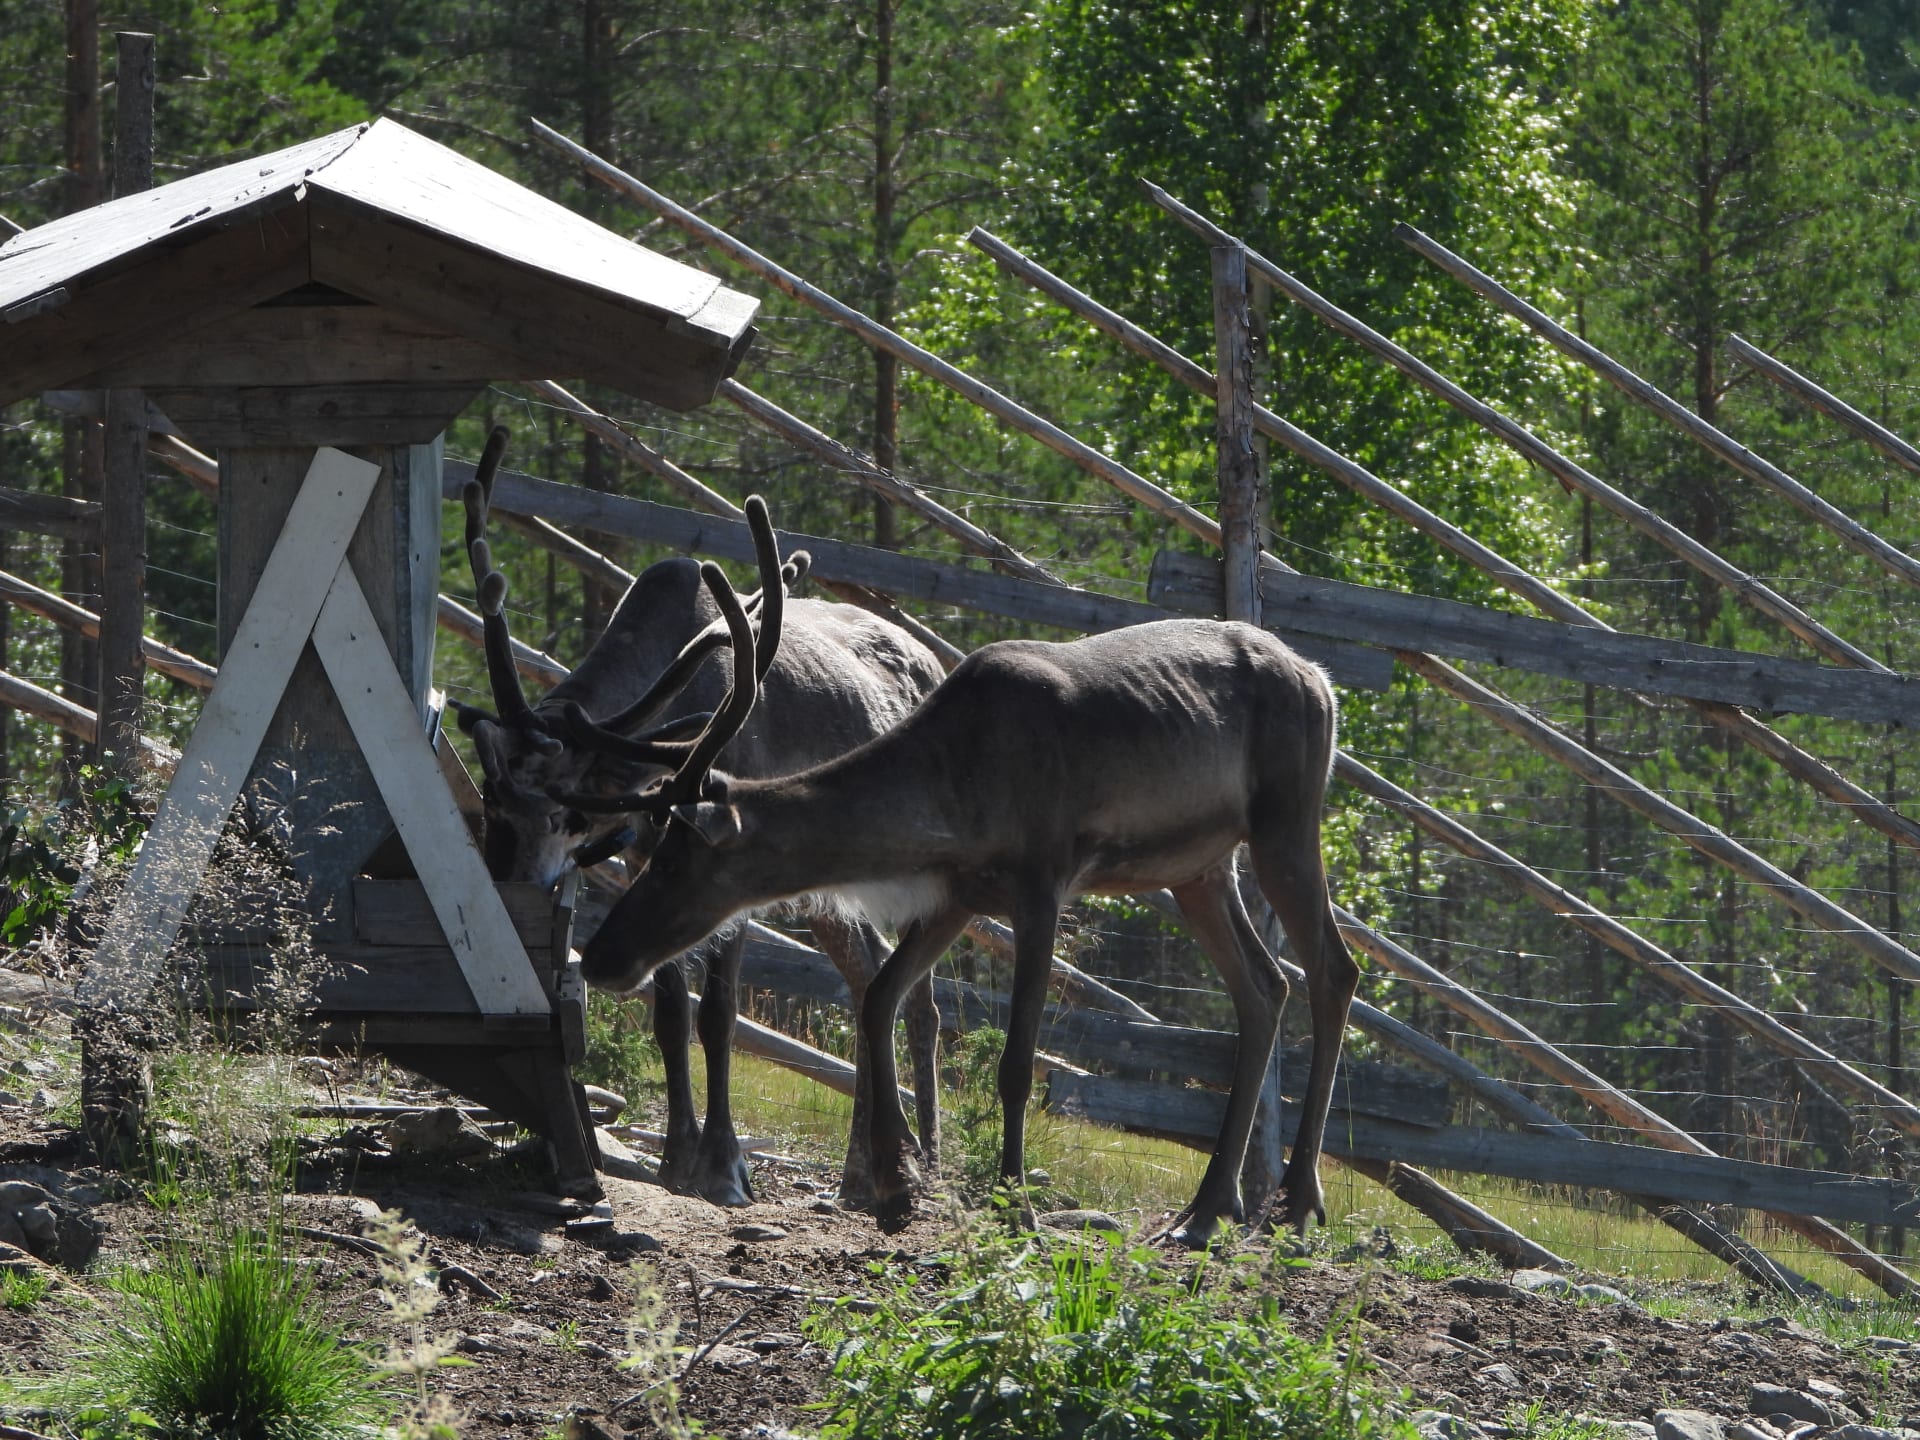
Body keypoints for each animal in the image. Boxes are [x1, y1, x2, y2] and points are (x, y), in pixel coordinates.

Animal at [451, 427, 947, 1208]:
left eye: (570, 813)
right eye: (493, 799)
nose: (510, 890)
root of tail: (933, 656)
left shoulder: (728, 855)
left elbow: (718, 1014)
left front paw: (723, 1165)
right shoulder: (644, 856)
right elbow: (669, 1009)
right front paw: (676, 1156)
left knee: (917, 997)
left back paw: (924, 1151)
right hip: (826, 892)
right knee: (869, 975)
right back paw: (860, 1171)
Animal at [577, 562, 1359, 1245]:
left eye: (676, 859)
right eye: (644, 849)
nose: (601, 957)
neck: (952, 793)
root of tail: (1322, 680)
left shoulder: (1043, 882)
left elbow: (1014, 1064)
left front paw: (1014, 1204)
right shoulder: (958, 893)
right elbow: (881, 997)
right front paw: (896, 1180)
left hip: (1286, 818)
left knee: (1332, 969)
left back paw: (1296, 1202)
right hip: (1197, 866)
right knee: (1264, 985)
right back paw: (1206, 1210)